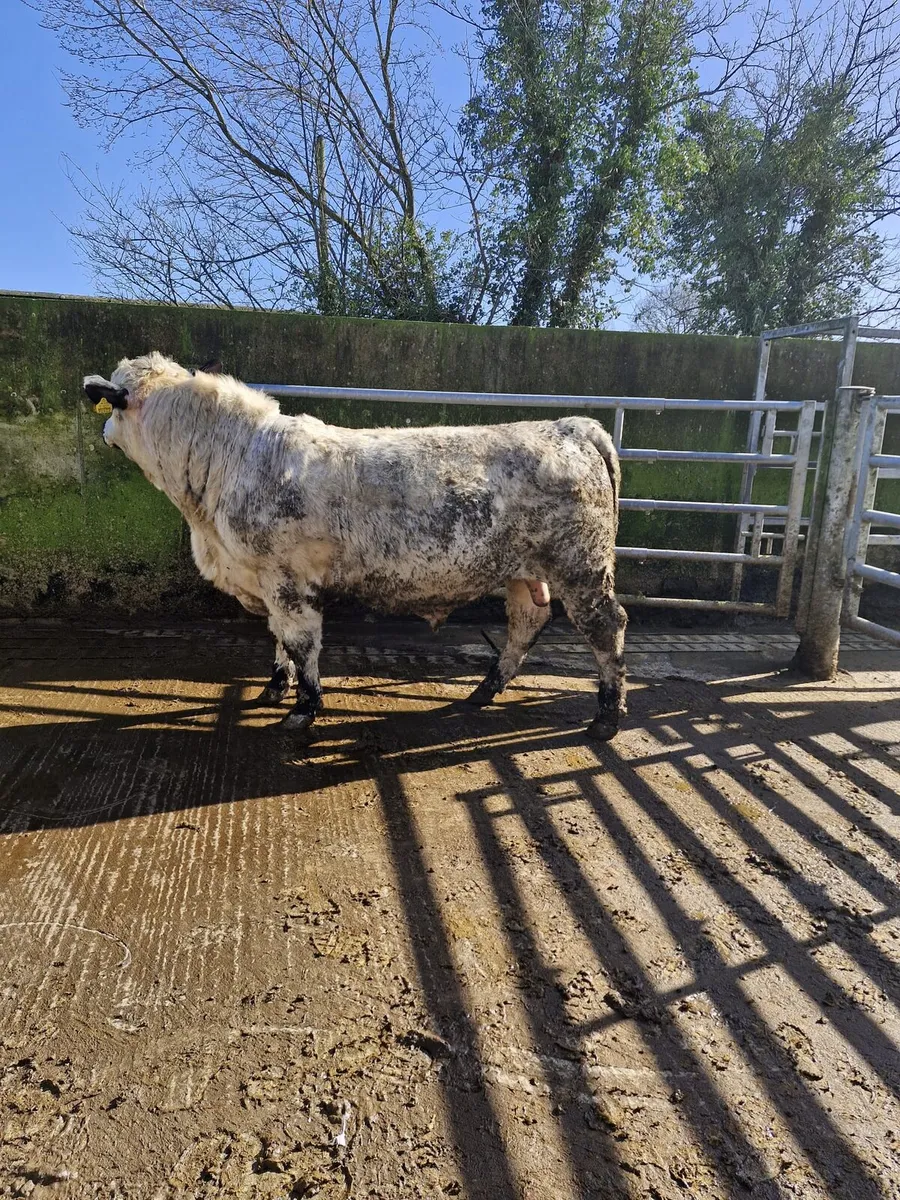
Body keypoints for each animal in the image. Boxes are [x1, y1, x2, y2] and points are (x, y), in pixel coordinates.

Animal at [84, 353, 627, 740]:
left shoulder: (286, 580)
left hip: (582, 565)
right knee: (527, 620)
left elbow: (301, 641)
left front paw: (303, 709)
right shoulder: (261, 578)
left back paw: (607, 716)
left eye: (111, 405)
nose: (104, 433)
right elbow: (278, 638)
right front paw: (275, 687)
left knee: (607, 626)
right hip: (523, 570)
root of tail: (572, 426)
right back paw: (484, 689)